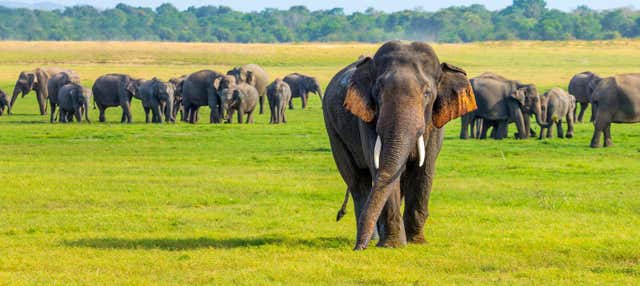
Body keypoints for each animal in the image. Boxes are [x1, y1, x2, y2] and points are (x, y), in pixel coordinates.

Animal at [322, 40, 478, 250]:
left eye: (427, 93)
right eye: (378, 91)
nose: (357, 249)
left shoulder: (434, 124)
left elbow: (424, 170)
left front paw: (416, 242)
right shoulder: (367, 119)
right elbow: (380, 168)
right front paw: (393, 245)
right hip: (333, 130)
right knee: (357, 180)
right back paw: (373, 239)